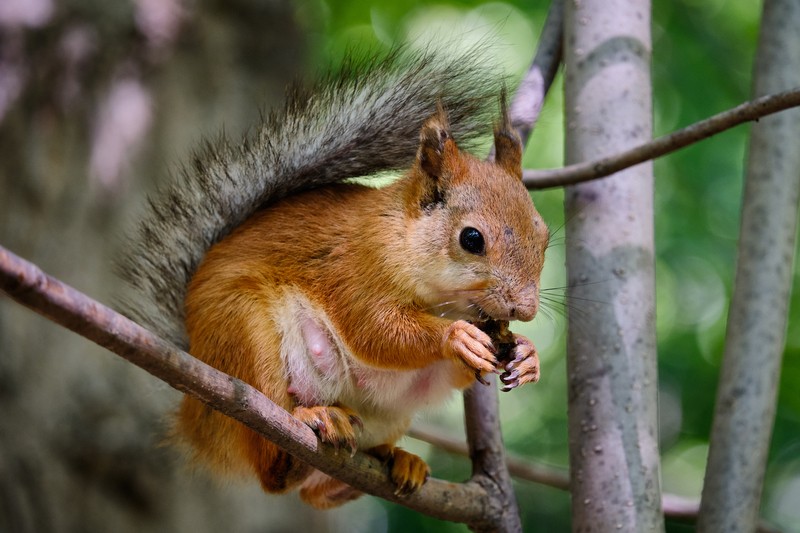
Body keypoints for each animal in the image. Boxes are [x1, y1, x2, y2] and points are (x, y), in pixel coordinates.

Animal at [117, 48, 552, 508]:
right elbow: (376, 331)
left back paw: (390, 463)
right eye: (471, 238)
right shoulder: (354, 268)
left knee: (315, 494)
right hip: (243, 335)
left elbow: (447, 371)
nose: (525, 309)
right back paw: (307, 430)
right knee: (272, 472)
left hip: (389, 415)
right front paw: (457, 337)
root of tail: (198, 414)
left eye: (543, 236)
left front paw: (527, 354)